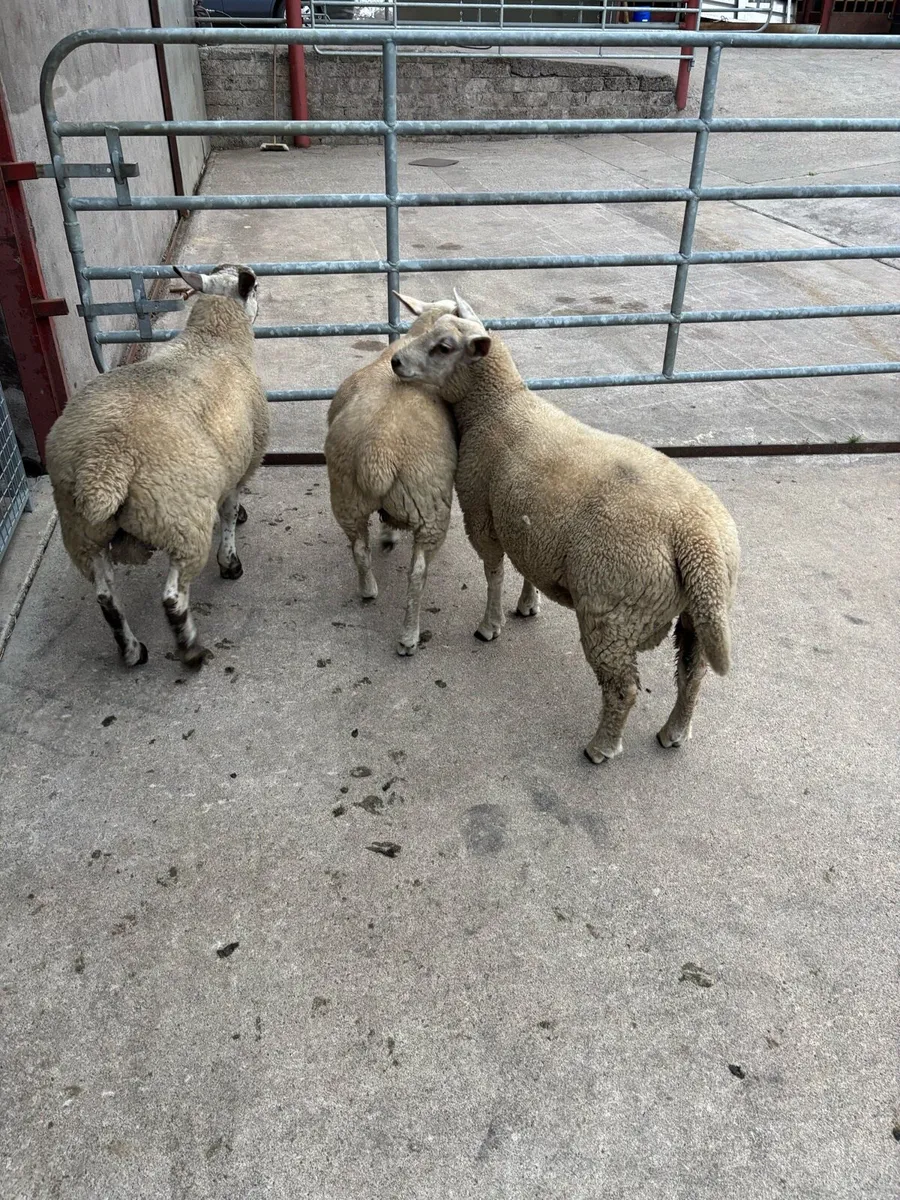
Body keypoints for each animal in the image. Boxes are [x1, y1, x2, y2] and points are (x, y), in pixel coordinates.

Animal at [45, 263, 270, 670]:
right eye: (256, 286)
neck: (215, 340)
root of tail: (104, 465)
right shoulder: (242, 460)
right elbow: (229, 512)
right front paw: (230, 560)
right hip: (179, 520)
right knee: (173, 596)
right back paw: (190, 649)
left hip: (82, 533)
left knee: (106, 597)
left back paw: (133, 651)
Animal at [324, 293, 459, 655]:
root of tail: (378, 451)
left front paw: (387, 535)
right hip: (430, 507)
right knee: (417, 574)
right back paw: (409, 636)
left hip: (346, 497)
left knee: (359, 548)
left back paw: (368, 589)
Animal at [389, 293, 740, 763]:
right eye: (416, 329)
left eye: (444, 347)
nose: (395, 361)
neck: (498, 405)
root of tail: (696, 537)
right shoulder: (527, 522)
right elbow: (525, 566)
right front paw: (527, 604)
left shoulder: (480, 510)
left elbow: (494, 571)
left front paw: (490, 625)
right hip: (699, 612)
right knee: (692, 674)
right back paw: (675, 732)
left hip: (612, 611)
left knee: (624, 689)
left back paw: (602, 747)